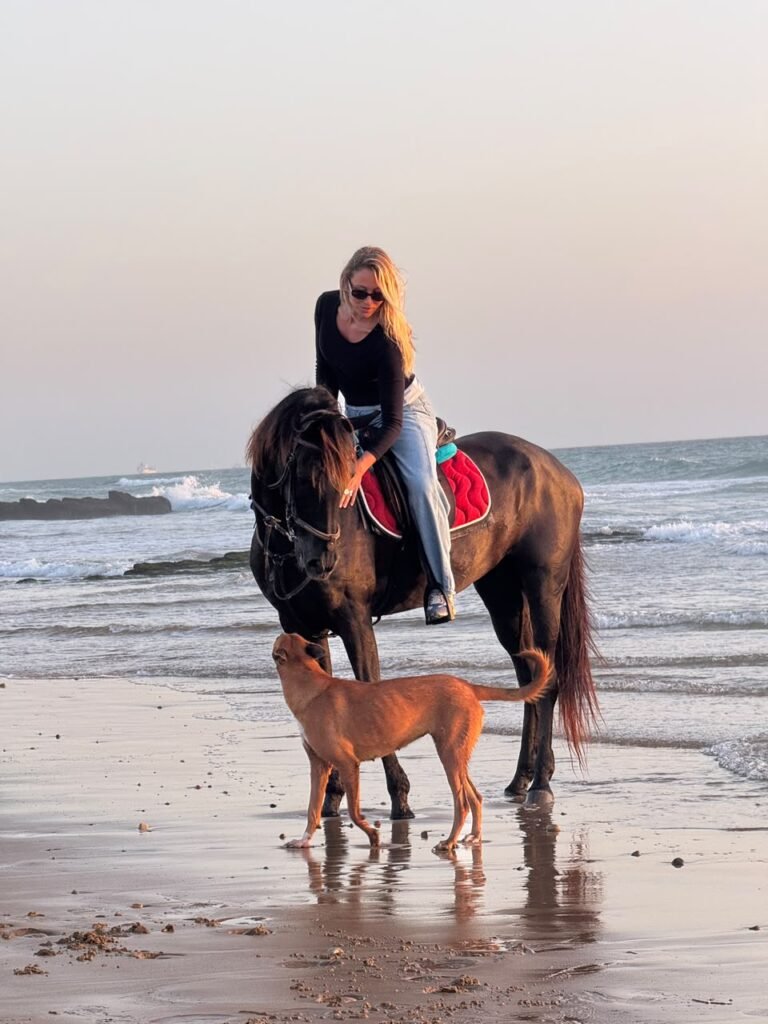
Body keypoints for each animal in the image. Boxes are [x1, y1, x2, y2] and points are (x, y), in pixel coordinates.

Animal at [246, 386, 598, 817]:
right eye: (301, 475)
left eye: (348, 478)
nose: (322, 561)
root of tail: (560, 472)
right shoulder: (304, 626)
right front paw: (332, 796)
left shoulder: (353, 620)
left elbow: (370, 688)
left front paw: (399, 795)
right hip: (502, 592)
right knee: (529, 673)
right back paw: (520, 779)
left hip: (543, 583)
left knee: (549, 680)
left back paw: (541, 786)